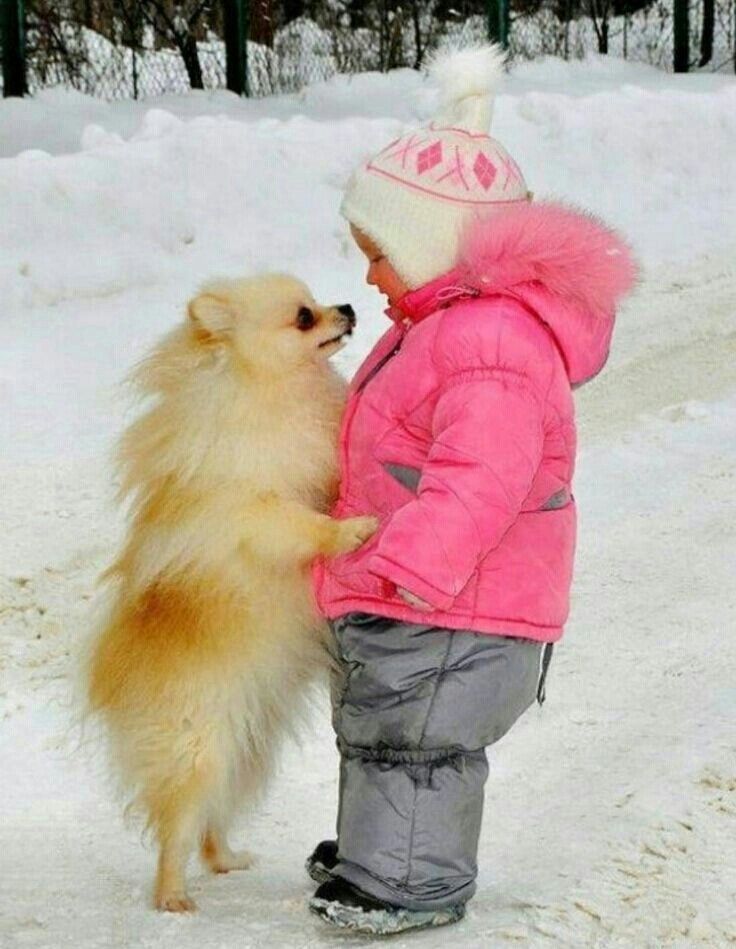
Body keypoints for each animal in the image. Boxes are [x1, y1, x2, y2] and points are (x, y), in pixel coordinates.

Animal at [85, 272, 374, 912]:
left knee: (210, 820)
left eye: (318, 302)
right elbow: (306, 524)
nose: (347, 307)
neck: (265, 389)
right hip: (199, 747)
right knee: (177, 826)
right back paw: (172, 896)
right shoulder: (257, 510)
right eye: (303, 317)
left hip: (247, 750)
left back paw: (225, 860)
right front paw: (352, 530)